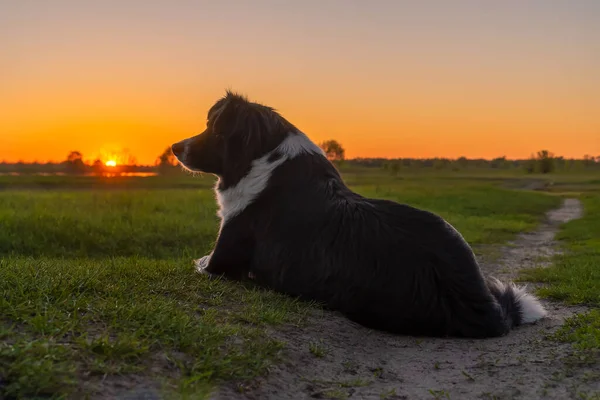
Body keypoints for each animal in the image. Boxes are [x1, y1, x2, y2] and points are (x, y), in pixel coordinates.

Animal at [170, 90, 548, 338]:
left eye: (213, 128)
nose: (174, 147)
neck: (262, 159)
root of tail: (483, 307)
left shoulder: (221, 260)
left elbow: (200, 262)